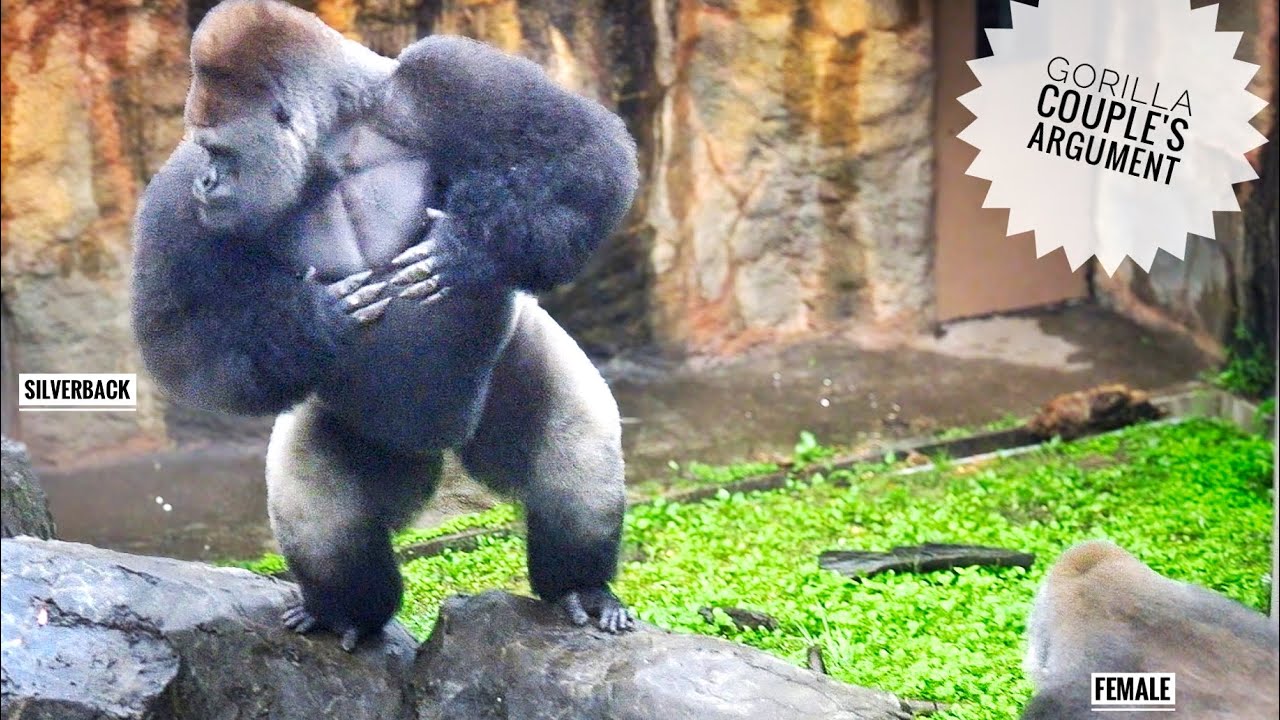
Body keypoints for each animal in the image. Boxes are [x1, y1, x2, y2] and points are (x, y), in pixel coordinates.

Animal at [131, 0, 639, 650]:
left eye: (222, 153)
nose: (207, 182)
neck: (333, 144)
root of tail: (444, 456)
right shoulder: (177, 194)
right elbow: (177, 337)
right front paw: (311, 325)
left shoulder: (443, 76)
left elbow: (583, 154)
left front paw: (471, 247)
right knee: (324, 523)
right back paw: (343, 610)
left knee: (574, 457)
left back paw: (582, 586)